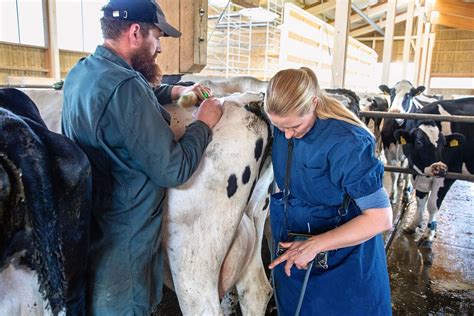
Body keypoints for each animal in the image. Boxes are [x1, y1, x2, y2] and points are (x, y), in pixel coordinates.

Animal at [392, 97, 474, 248]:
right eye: (419, 141)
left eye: (443, 144)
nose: (440, 168)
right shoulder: (418, 174)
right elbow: (420, 200)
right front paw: (412, 225)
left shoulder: (448, 175)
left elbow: (432, 205)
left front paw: (428, 235)